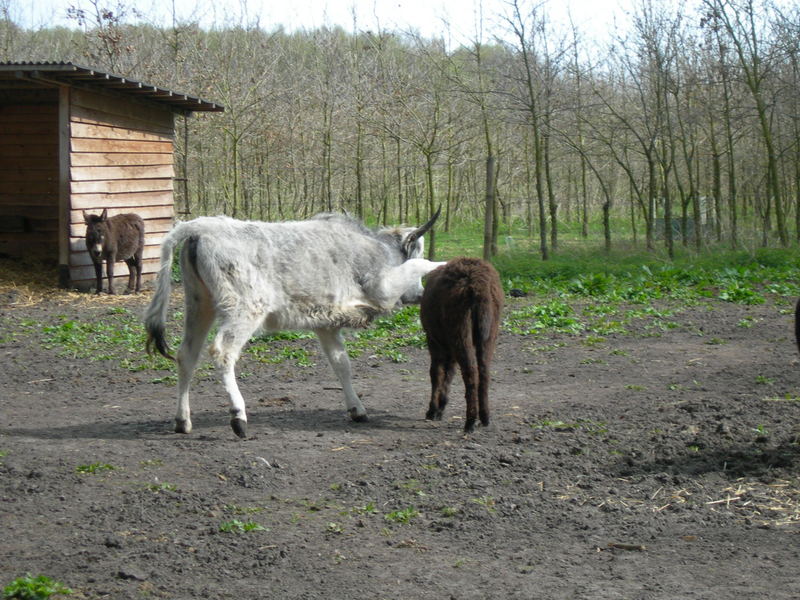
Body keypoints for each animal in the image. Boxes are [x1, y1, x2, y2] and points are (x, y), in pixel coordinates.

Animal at [144, 210, 444, 436]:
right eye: (416, 250)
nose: (418, 295)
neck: (375, 247)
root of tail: (200, 227)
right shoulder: (382, 289)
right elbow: (416, 267)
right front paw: (440, 263)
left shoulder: (326, 325)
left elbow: (341, 364)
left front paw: (356, 409)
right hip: (245, 308)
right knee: (222, 352)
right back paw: (238, 416)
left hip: (199, 305)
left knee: (187, 355)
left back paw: (182, 421)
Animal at [418, 256, 500, 432]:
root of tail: (477, 284)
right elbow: (449, 371)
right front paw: (441, 407)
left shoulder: (434, 339)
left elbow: (437, 372)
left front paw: (433, 410)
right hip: (489, 331)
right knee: (484, 370)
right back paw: (485, 418)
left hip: (459, 326)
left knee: (470, 372)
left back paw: (470, 422)